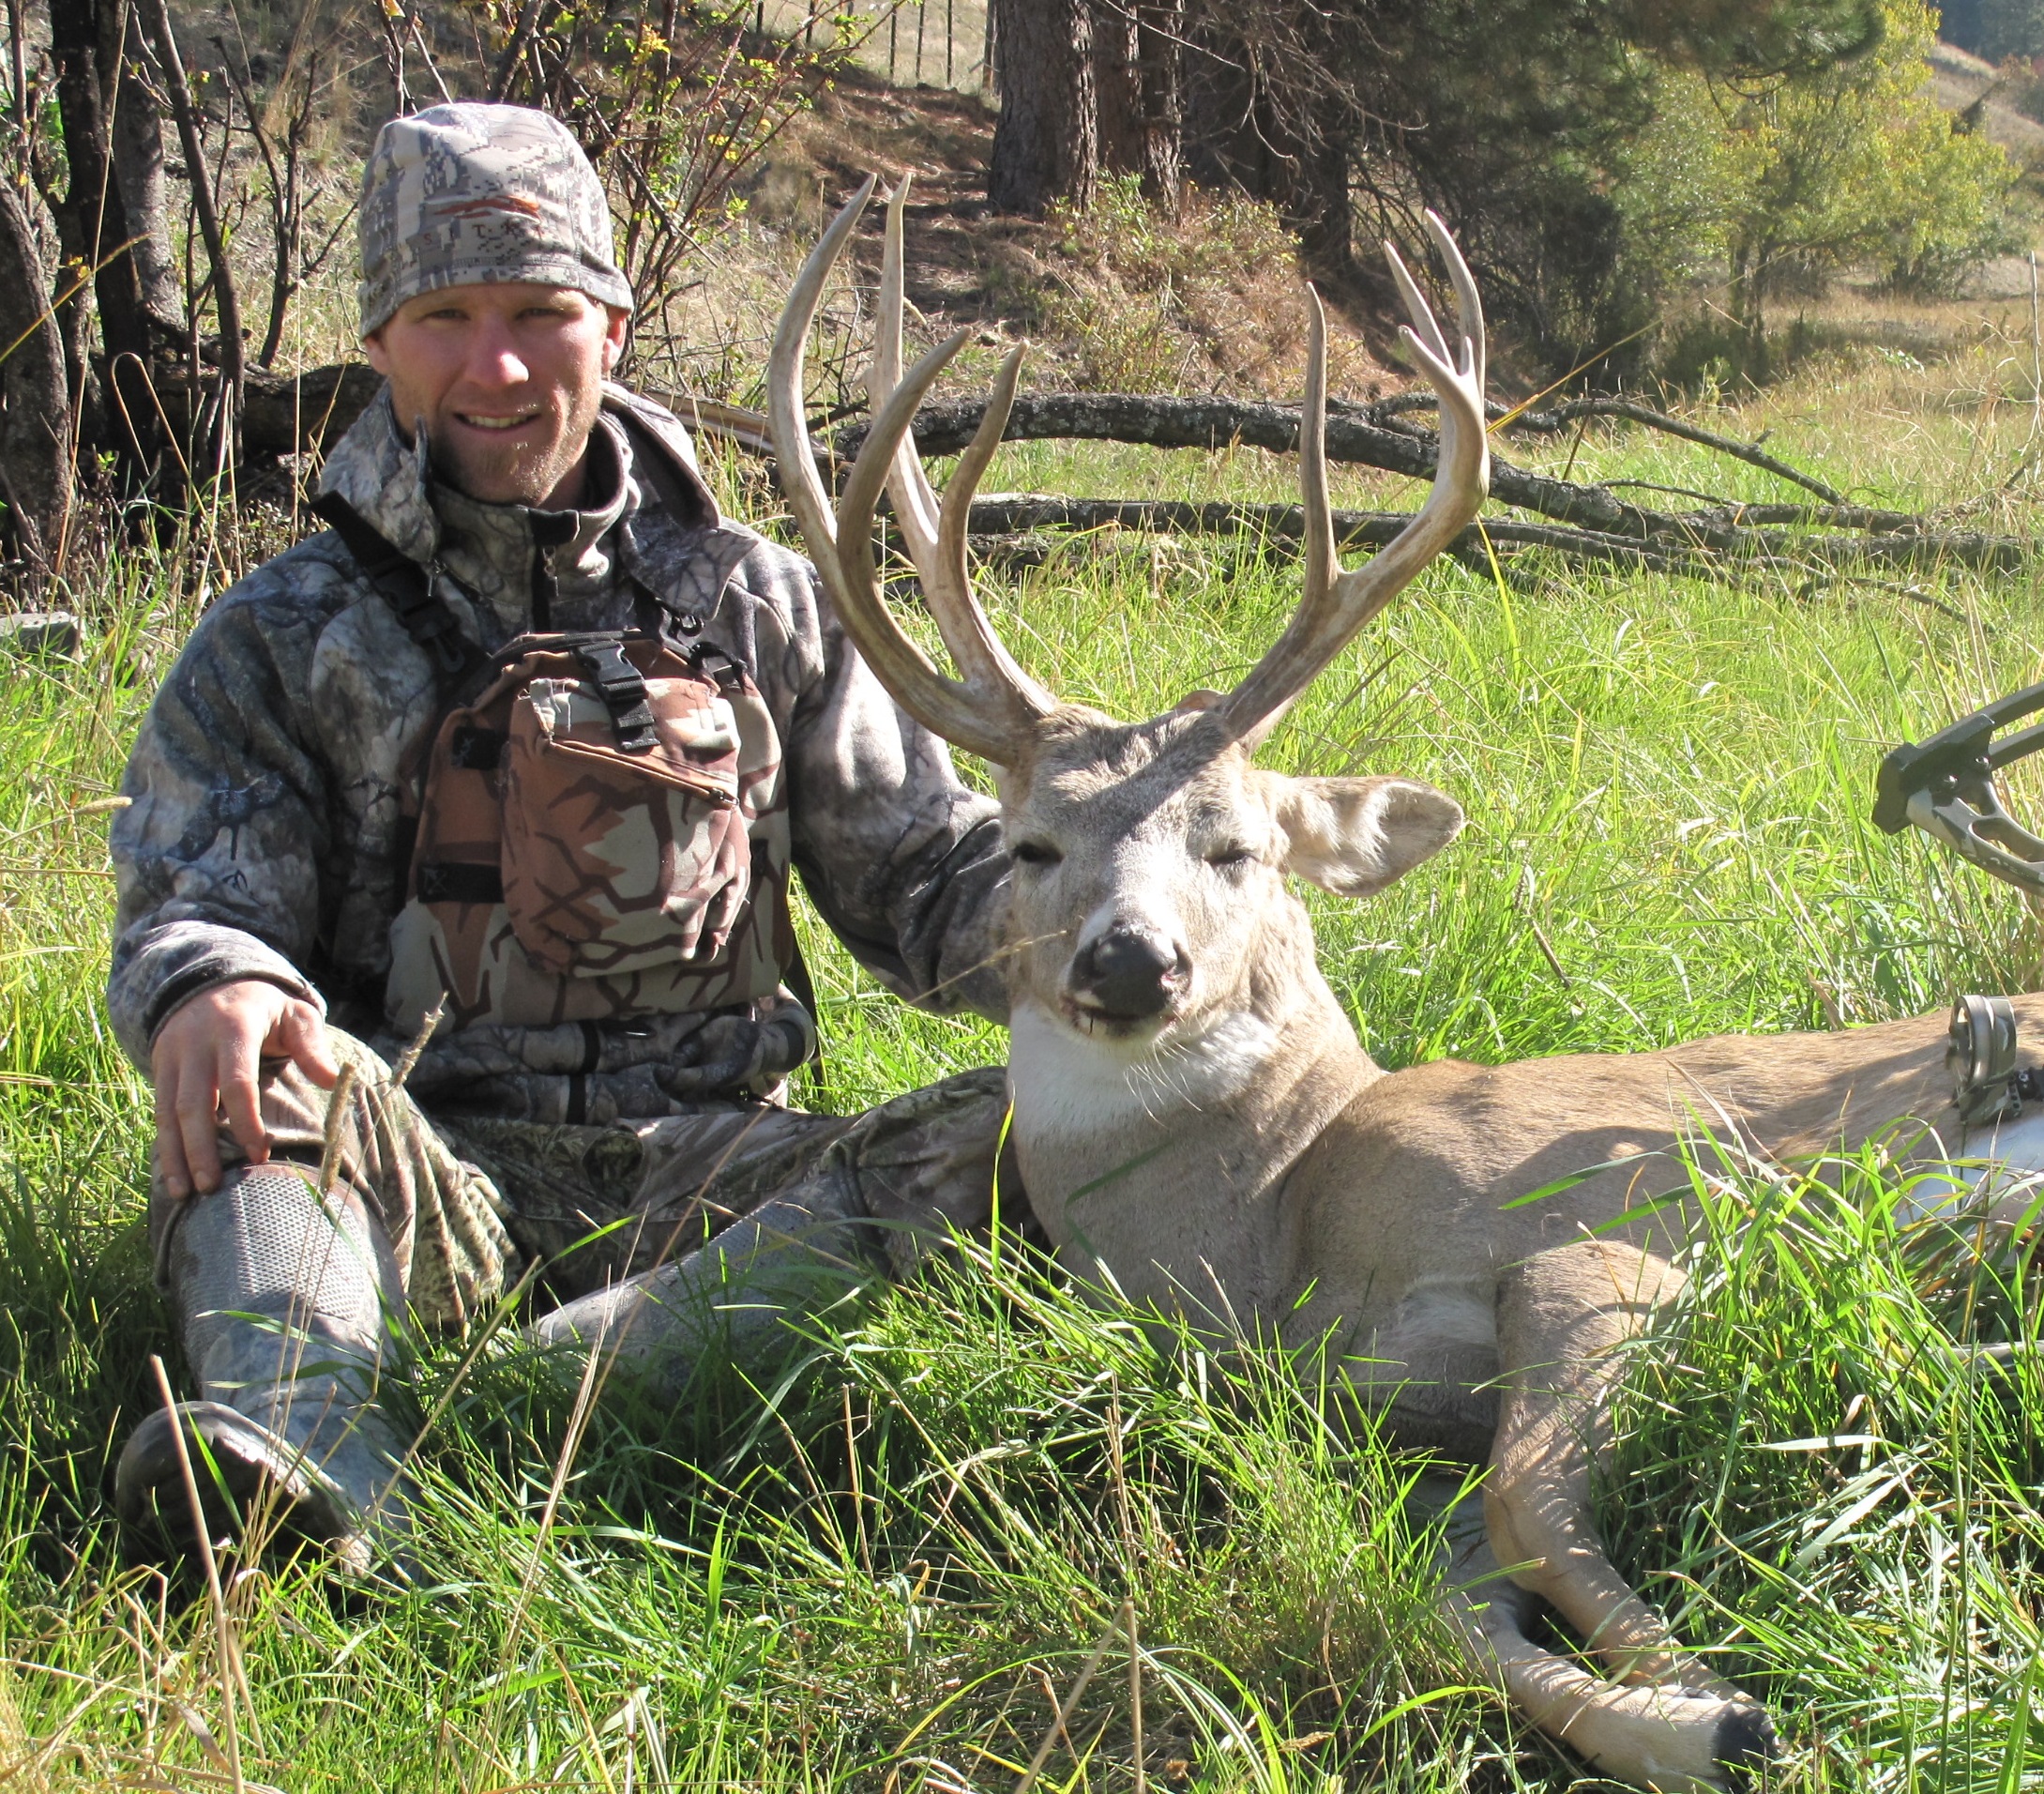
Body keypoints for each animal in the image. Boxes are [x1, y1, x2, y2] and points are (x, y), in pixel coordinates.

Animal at [768, 182, 2044, 1791]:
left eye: (1239, 844)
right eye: (1026, 842)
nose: (1128, 960)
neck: (1277, 1223)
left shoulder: (1603, 1247)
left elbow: (1531, 1506)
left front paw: (1734, 1702)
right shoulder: (1394, 1443)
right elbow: (1451, 1604)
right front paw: (1698, 1723)